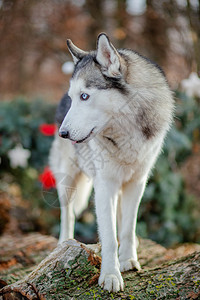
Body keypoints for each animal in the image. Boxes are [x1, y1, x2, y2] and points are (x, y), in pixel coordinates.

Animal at [49, 33, 173, 292]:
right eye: (74, 98)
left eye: (84, 96)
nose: (63, 133)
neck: (127, 133)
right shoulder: (104, 185)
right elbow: (107, 234)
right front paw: (110, 275)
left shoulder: (137, 182)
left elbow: (127, 227)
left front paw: (128, 260)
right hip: (67, 179)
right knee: (68, 214)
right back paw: (63, 244)